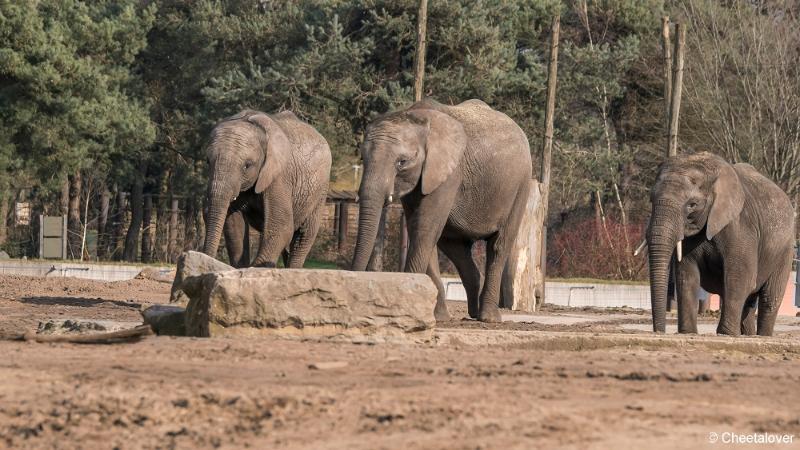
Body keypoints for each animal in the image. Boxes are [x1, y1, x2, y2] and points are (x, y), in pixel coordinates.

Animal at [206, 109, 334, 268]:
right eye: (207, 161)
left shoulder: (280, 176)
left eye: (247, 165)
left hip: (321, 190)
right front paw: (240, 268)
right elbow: (234, 222)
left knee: (303, 235)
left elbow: (282, 226)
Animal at [352, 99, 532, 324]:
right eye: (362, 159)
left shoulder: (447, 174)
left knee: (499, 246)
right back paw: (473, 313)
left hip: (520, 187)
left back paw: (488, 318)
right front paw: (438, 317)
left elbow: (425, 228)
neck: (415, 116)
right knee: (454, 245)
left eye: (402, 162)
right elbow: (420, 230)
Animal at [648, 151, 796, 334]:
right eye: (651, 200)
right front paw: (688, 332)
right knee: (749, 301)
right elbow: (687, 277)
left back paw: (762, 336)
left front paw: (725, 333)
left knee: (769, 298)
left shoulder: (741, 227)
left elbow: (739, 277)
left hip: (785, 250)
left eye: (692, 205)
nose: (659, 331)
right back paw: (747, 335)